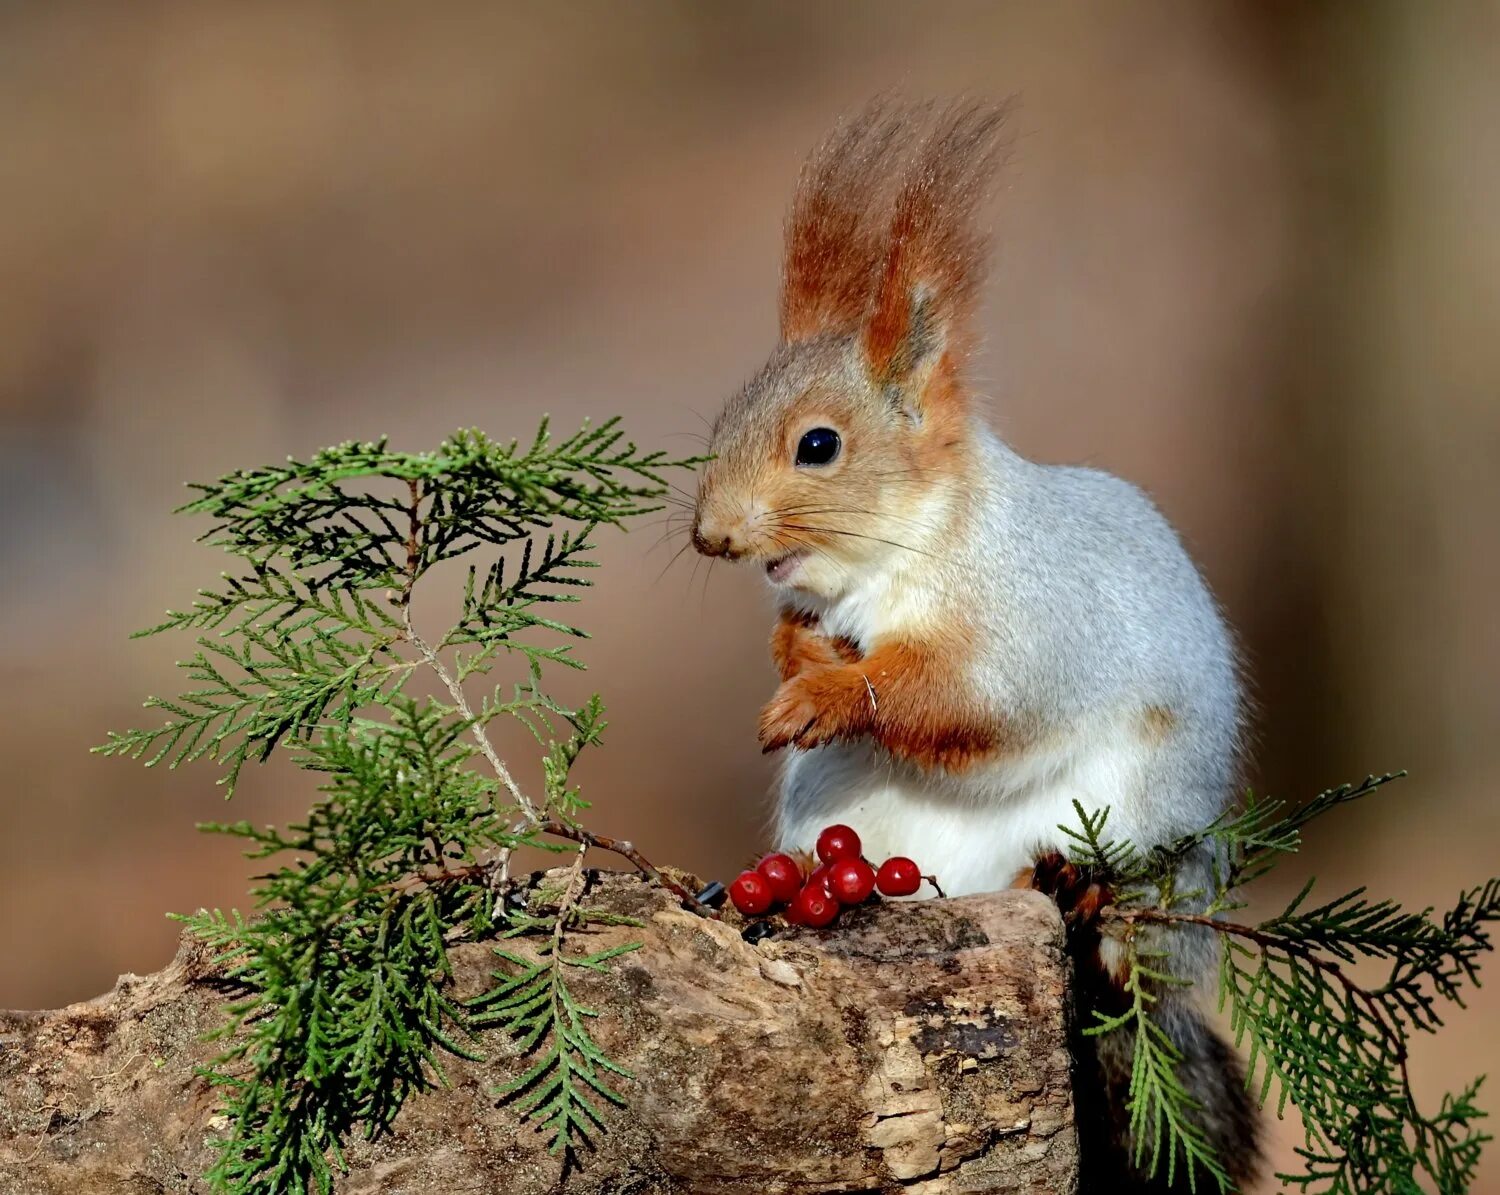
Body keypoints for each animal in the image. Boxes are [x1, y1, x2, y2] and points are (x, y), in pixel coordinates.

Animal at [690, 100, 1266, 1181]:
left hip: (1142, 829)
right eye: (724, 417)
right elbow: (809, 636)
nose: (711, 534)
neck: (900, 561)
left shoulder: (1027, 620)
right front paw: (799, 657)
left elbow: (963, 700)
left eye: (818, 445)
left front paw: (829, 694)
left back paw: (1075, 898)